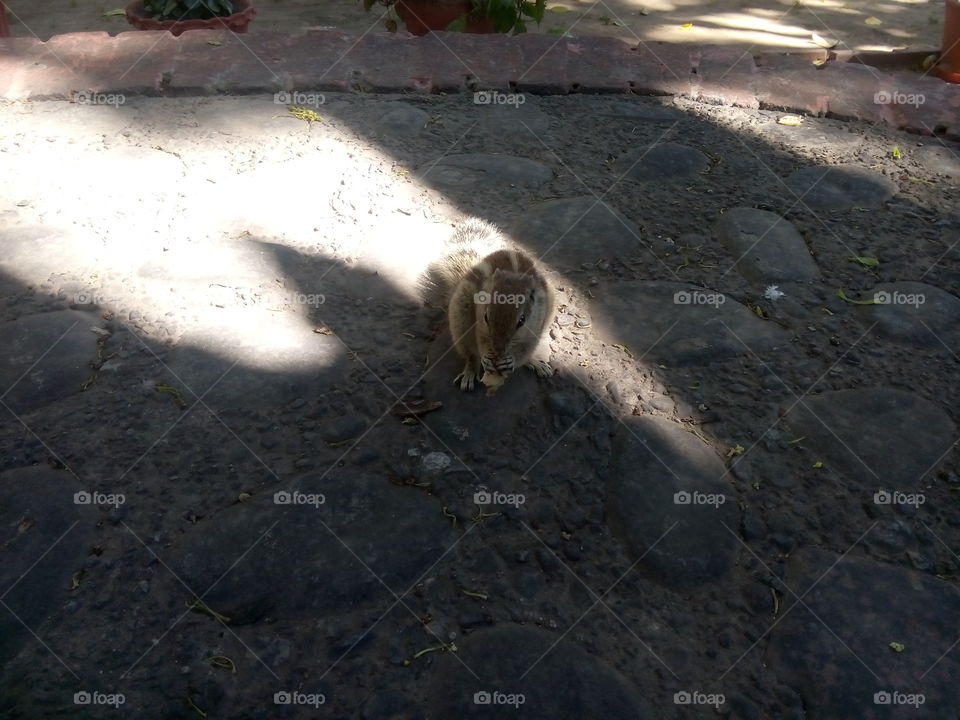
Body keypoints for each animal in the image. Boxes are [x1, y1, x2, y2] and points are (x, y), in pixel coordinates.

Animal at [421, 218, 555, 394]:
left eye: (522, 321)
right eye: (486, 317)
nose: (498, 350)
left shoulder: (537, 324)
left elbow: (525, 348)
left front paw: (512, 360)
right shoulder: (479, 322)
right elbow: (480, 340)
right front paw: (486, 357)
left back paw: (535, 362)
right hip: (460, 314)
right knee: (470, 354)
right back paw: (469, 373)